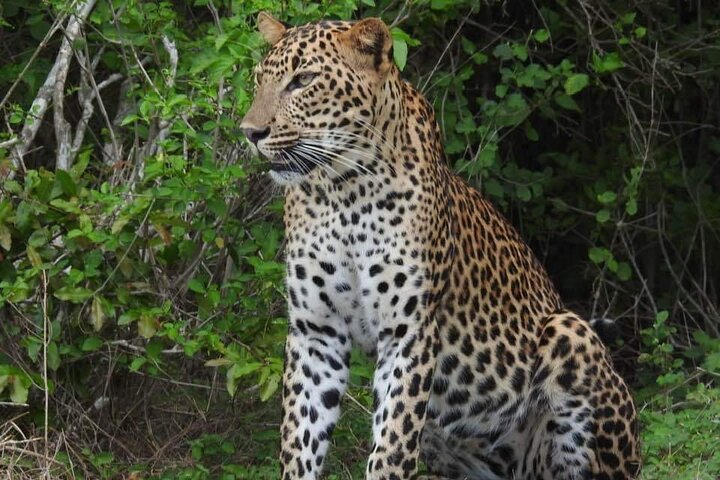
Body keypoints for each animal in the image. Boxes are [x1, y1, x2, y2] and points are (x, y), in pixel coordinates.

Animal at [240, 11, 641, 480]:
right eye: (259, 80)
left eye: (303, 81)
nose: (250, 133)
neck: (343, 191)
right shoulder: (315, 333)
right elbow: (300, 438)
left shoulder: (408, 333)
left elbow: (392, 445)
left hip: (570, 333)